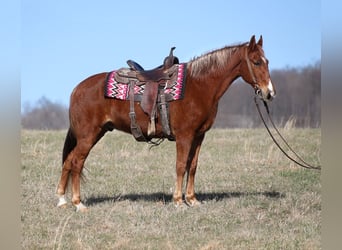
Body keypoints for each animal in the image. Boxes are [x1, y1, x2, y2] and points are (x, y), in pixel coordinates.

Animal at [55, 35, 276, 211]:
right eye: (256, 62)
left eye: (267, 61)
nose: (269, 93)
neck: (199, 85)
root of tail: (77, 89)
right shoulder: (184, 136)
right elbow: (180, 165)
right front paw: (178, 201)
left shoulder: (199, 136)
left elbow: (192, 166)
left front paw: (192, 199)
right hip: (88, 135)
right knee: (76, 162)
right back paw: (78, 203)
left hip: (95, 133)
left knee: (69, 161)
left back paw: (62, 200)